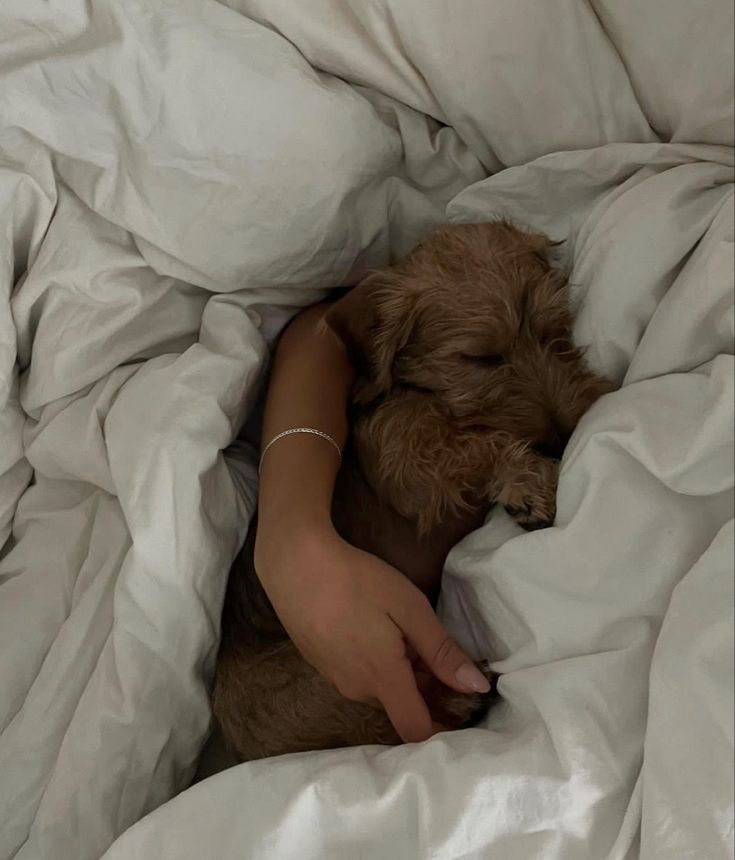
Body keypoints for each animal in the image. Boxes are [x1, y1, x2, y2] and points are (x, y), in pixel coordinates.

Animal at [211, 220, 608, 760]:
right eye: (480, 357)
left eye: (554, 331)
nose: (565, 435)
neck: (415, 392)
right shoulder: (406, 459)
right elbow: (467, 445)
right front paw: (527, 479)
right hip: (334, 687)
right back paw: (464, 699)